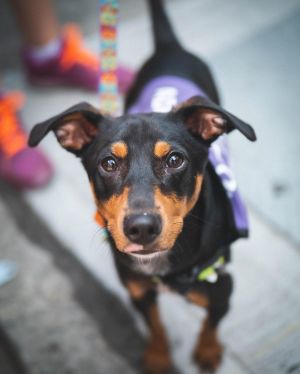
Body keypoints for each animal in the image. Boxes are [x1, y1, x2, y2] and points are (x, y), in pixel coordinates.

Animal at [29, 1, 256, 372]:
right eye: (108, 164)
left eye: (176, 160)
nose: (142, 228)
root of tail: (169, 48)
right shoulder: (137, 291)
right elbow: (156, 326)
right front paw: (158, 357)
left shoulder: (222, 288)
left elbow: (210, 324)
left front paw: (208, 351)